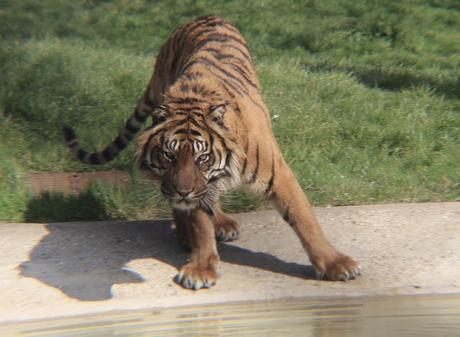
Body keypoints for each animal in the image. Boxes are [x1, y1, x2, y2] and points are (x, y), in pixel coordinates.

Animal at [63, 15, 362, 288]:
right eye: (169, 156)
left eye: (202, 157)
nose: (183, 192)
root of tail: (203, 16)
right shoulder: (191, 188)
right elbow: (200, 225)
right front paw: (201, 268)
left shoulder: (278, 175)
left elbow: (304, 219)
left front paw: (336, 264)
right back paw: (190, 232)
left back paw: (220, 223)